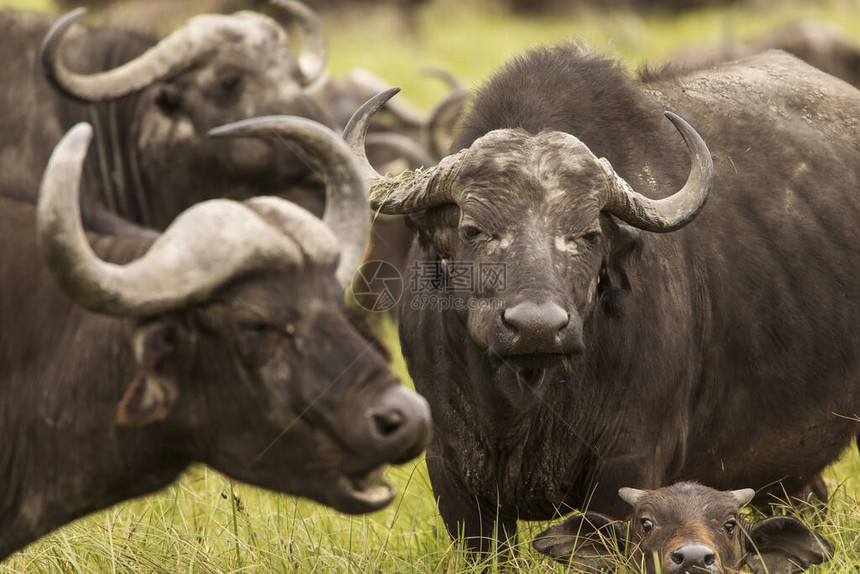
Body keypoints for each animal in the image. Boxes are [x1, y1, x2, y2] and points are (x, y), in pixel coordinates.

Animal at [346, 46, 860, 560]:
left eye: (589, 235)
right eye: (473, 230)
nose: (536, 327)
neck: (525, 401)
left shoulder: (628, 464)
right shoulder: (452, 476)